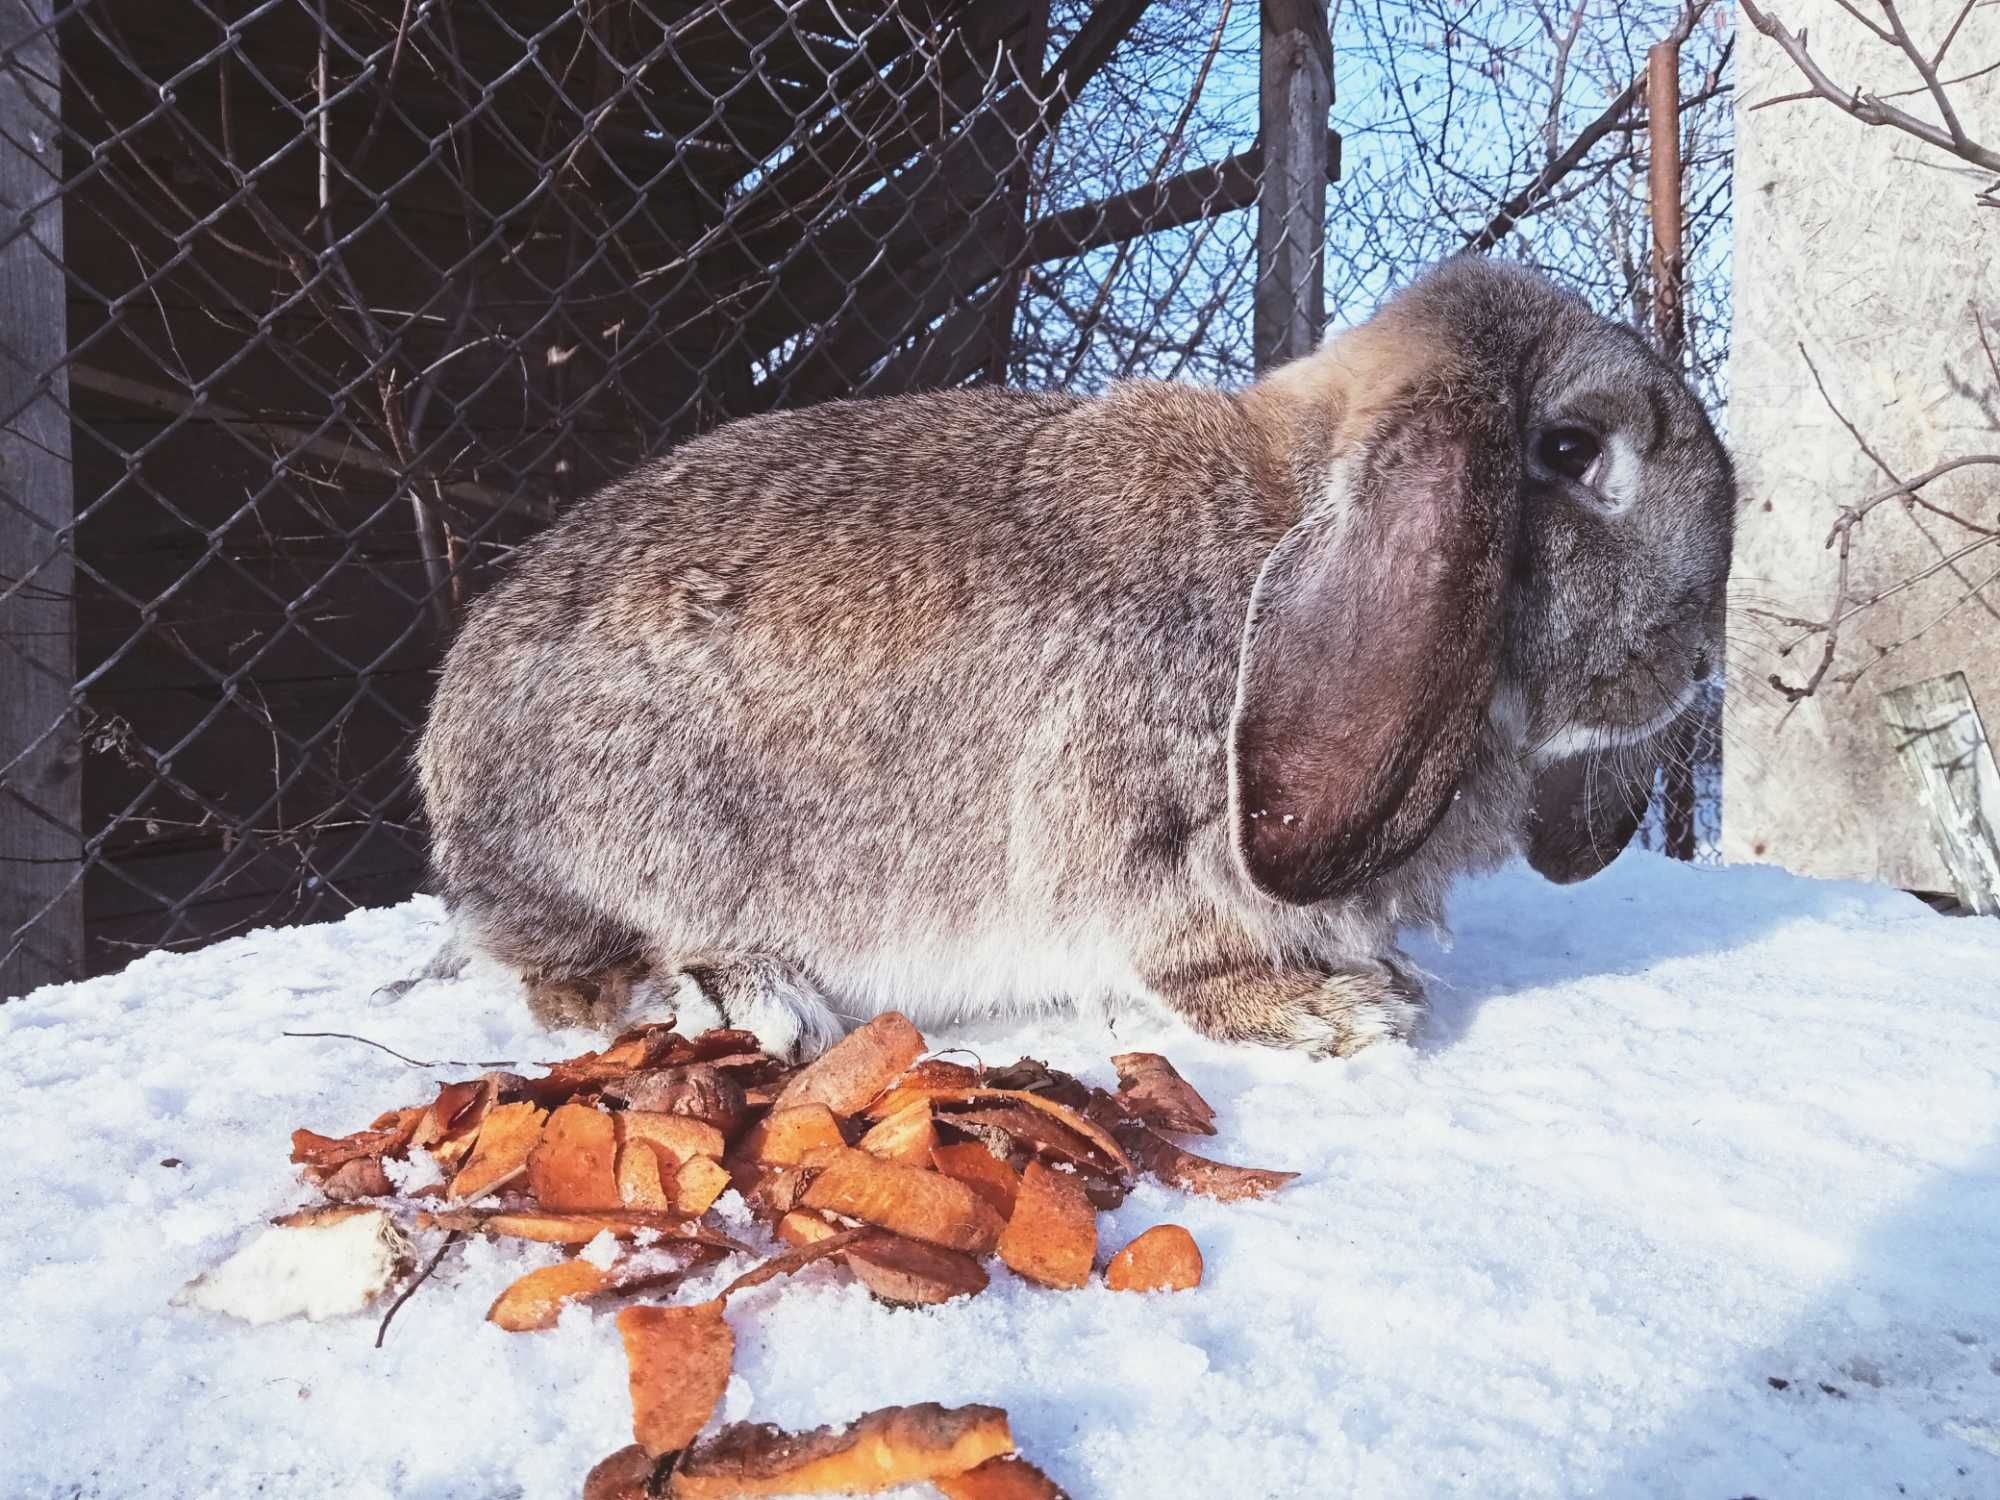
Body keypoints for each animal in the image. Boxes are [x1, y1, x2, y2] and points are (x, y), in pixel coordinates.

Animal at [418, 256, 1736, 1056]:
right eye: (1568, 451)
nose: (1688, 666)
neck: (1277, 522)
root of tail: (450, 759)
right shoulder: (1147, 843)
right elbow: (1185, 951)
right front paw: (1332, 1014)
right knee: (585, 965)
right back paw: (745, 995)